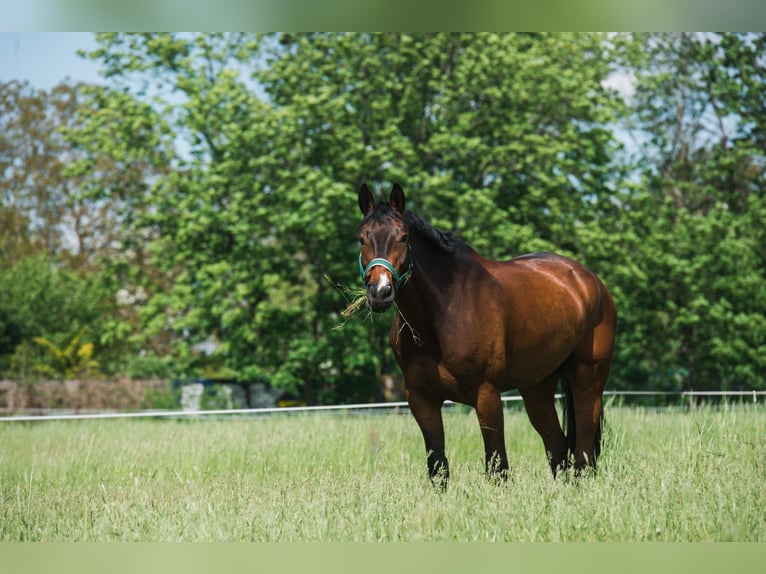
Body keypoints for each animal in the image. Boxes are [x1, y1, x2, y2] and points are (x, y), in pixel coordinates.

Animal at [357, 183, 617, 486]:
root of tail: (589, 281)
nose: (381, 292)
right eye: (361, 239)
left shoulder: (487, 394)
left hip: (588, 380)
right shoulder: (421, 398)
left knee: (583, 451)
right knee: (558, 447)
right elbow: (438, 466)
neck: (442, 312)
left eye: (403, 237)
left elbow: (497, 466)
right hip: (537, 388)